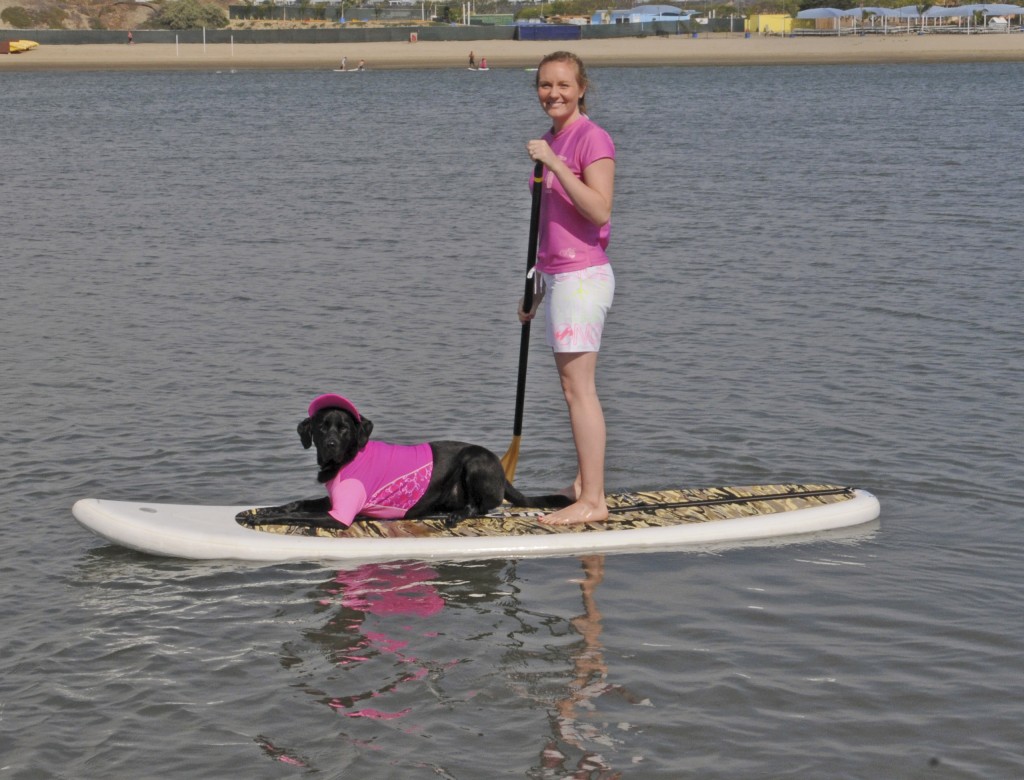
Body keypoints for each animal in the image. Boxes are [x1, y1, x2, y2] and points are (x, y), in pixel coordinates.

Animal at [235, 395, 569, 528]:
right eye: (321, 427)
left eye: (343, 429)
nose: (330, 445)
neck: (348, 460)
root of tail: (502, 471)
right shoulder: (333, 500)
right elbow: (298, 504)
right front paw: (265, 509)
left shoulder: (340, 515)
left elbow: (300, 516)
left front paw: (261, 519)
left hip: (475, 461)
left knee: (484, 506)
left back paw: (458, 514)